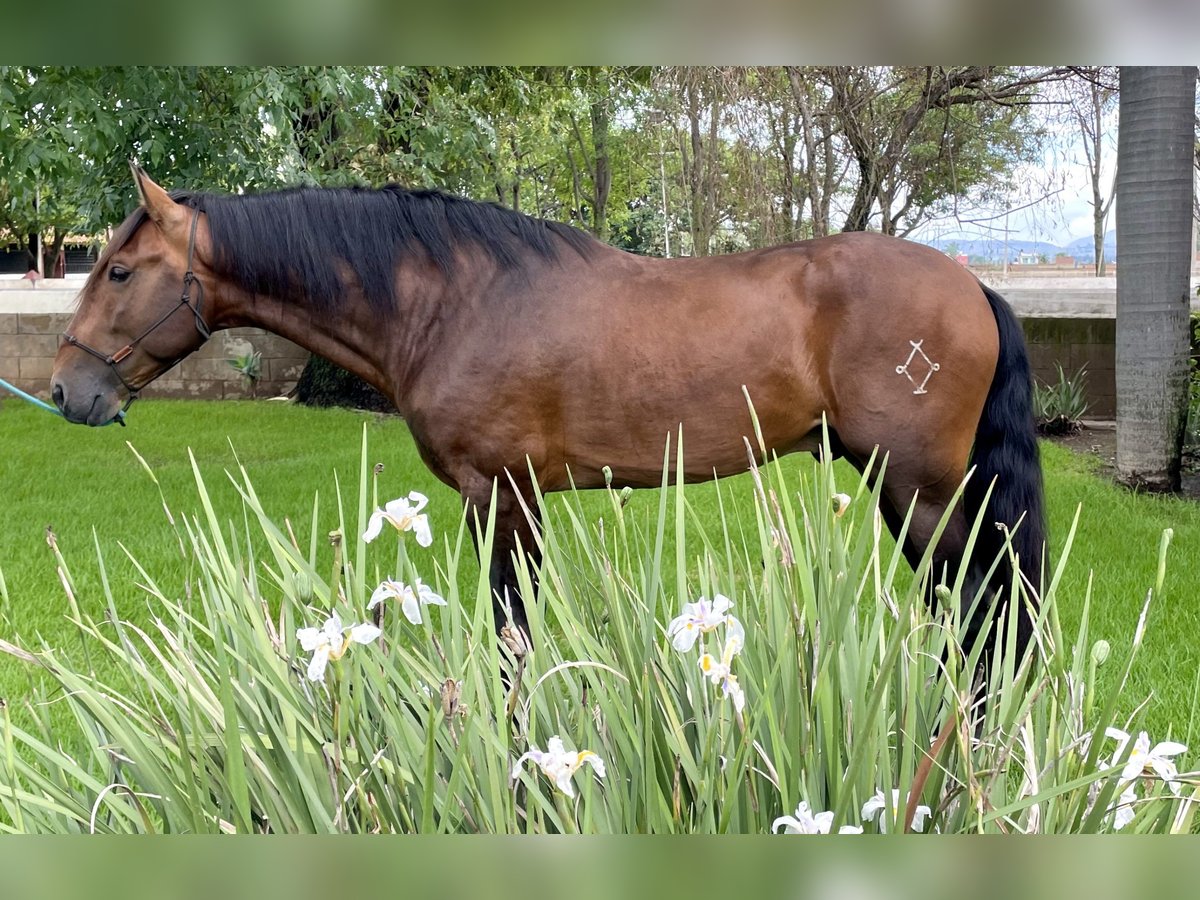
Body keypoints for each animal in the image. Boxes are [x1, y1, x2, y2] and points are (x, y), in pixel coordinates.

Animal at [51, 169, 1041, 657]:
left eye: (119, 270)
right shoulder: (516, 503)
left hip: (919, 495)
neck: (455, 299)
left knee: (980, 615)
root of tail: (973, 283)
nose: (67, 390)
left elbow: (511, 641)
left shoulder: (501, 497)